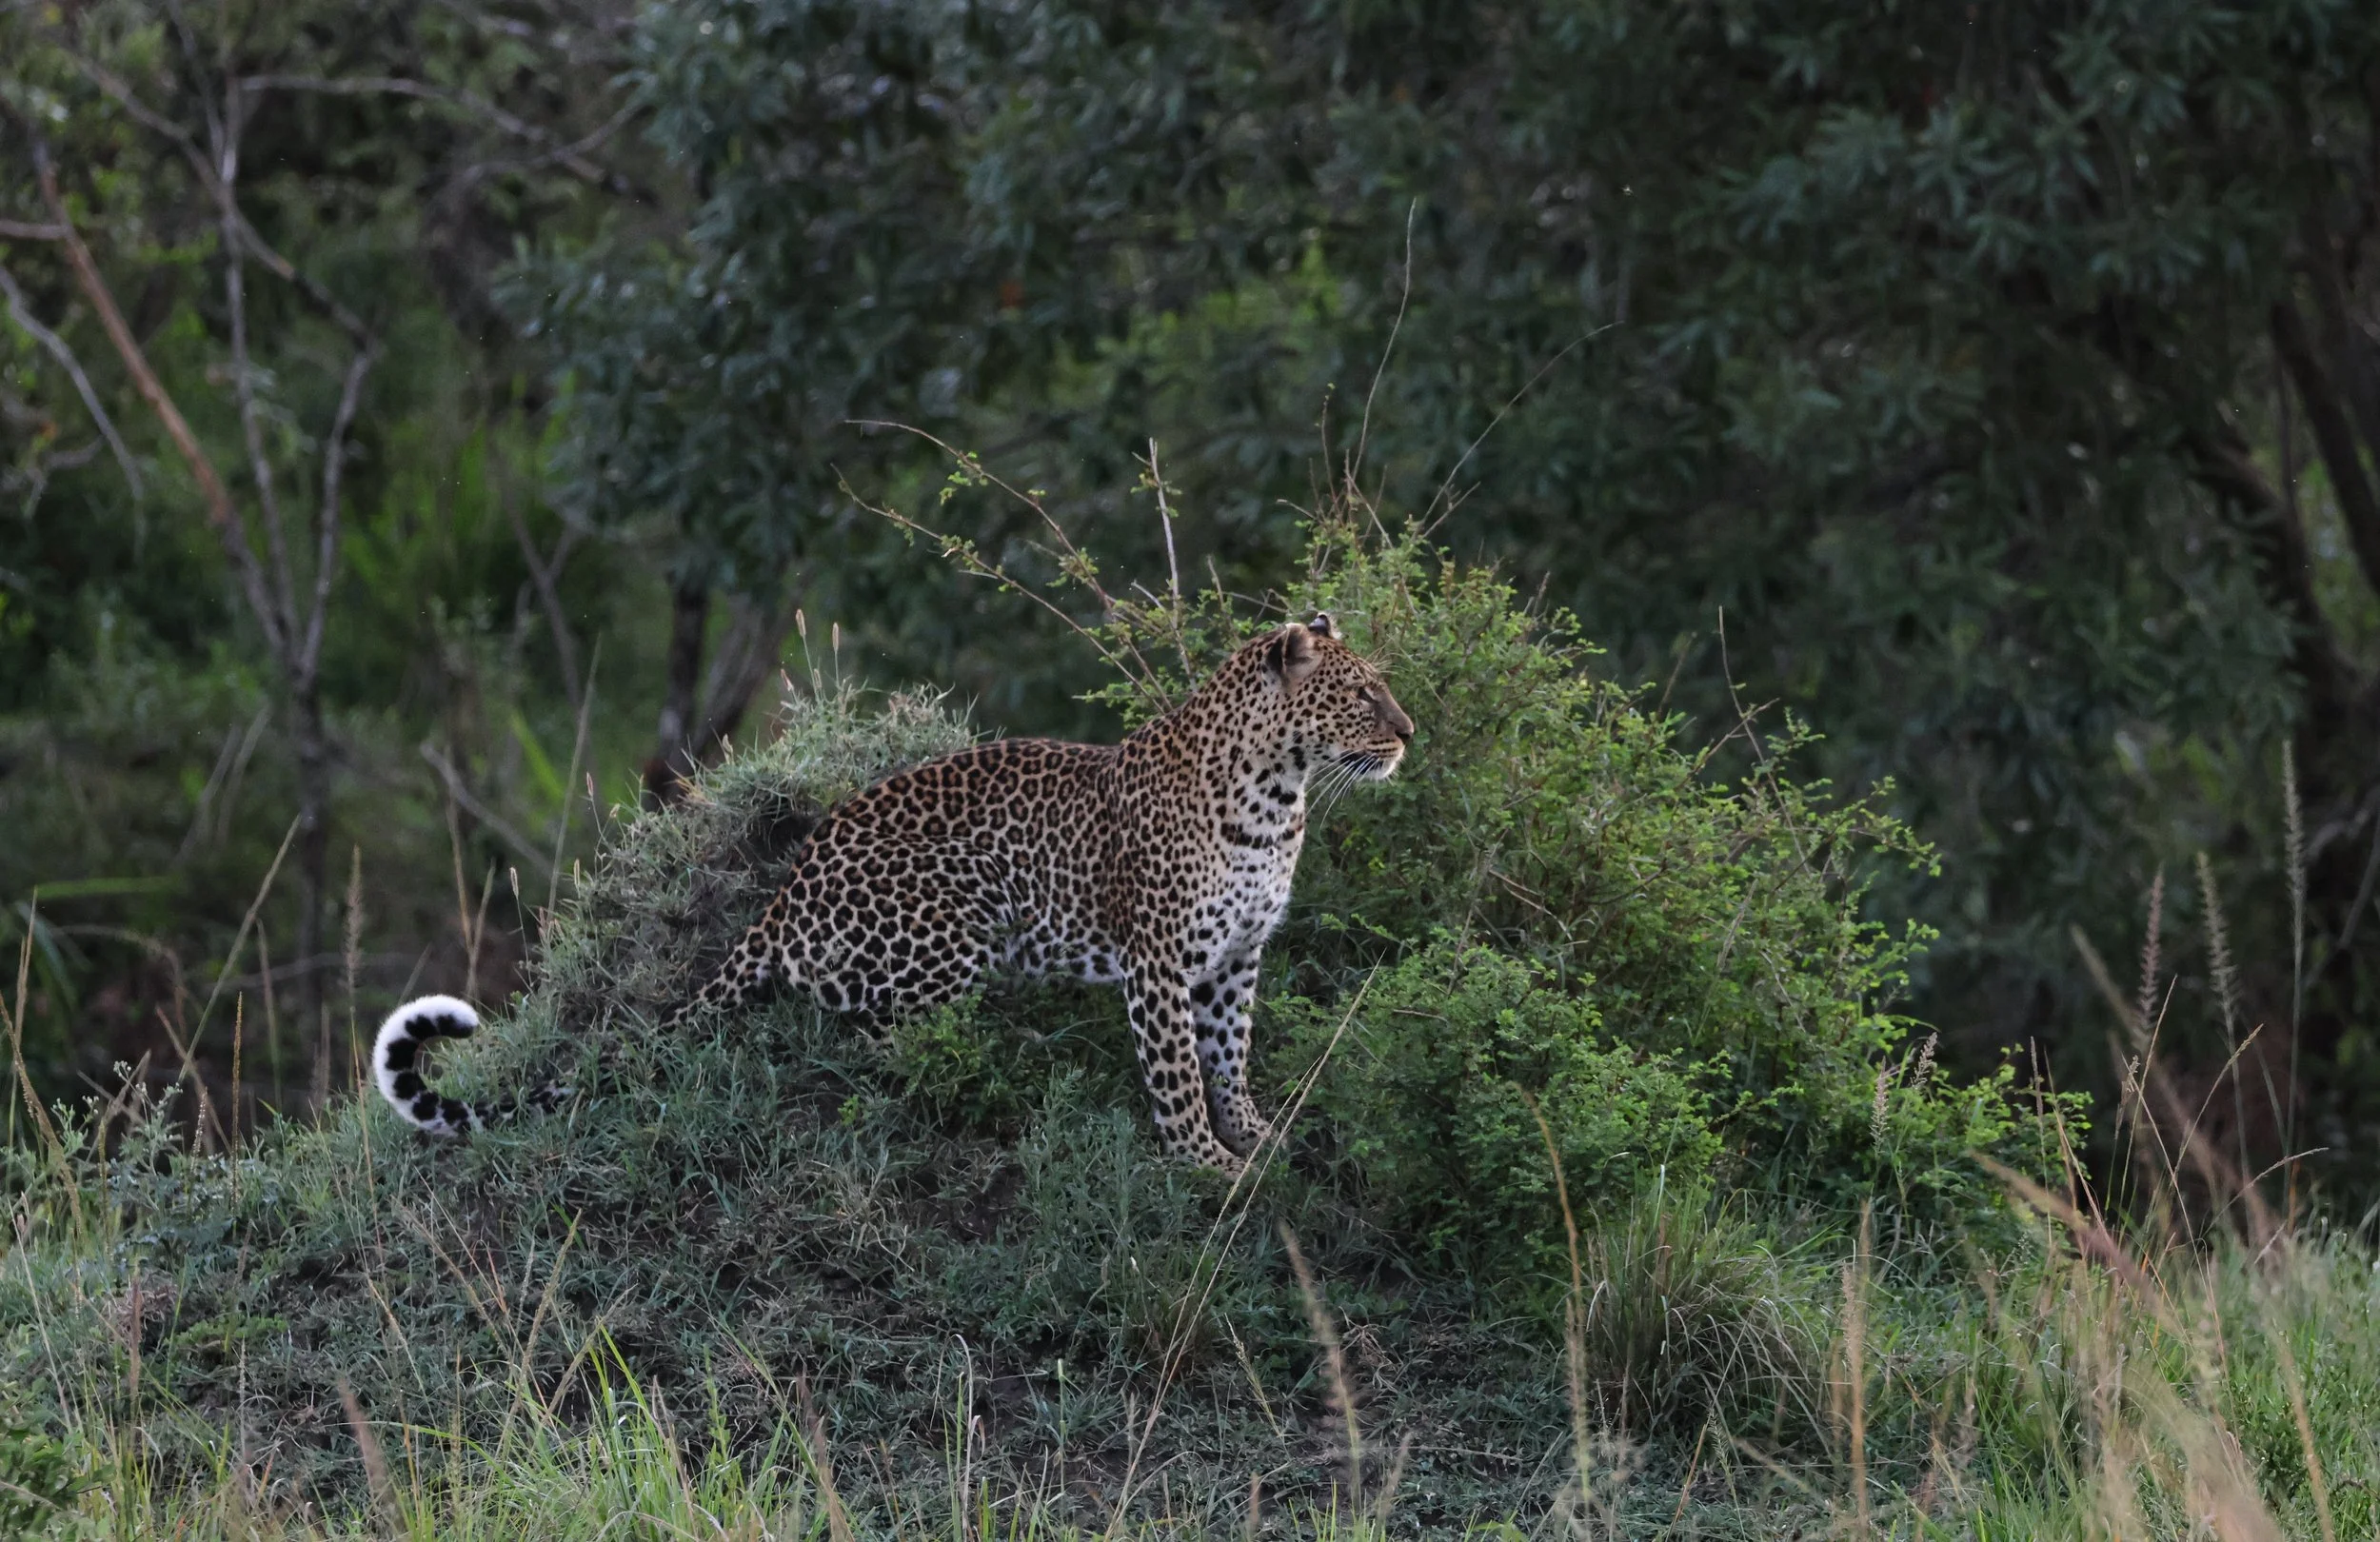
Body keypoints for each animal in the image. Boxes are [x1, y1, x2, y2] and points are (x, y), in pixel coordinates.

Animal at [372, 613, 1414, 1173]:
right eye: (1364, 695)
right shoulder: (1159, 962)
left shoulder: (1237, 958)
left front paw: (1257, 1136)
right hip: (959, 914)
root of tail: (789, 889)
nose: (1407, 734)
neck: (1278, 797)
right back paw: (1006, 1051)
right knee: (870, 1033)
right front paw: (1205, 1163)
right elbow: (1177, 1074)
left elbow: (1228, 1059)